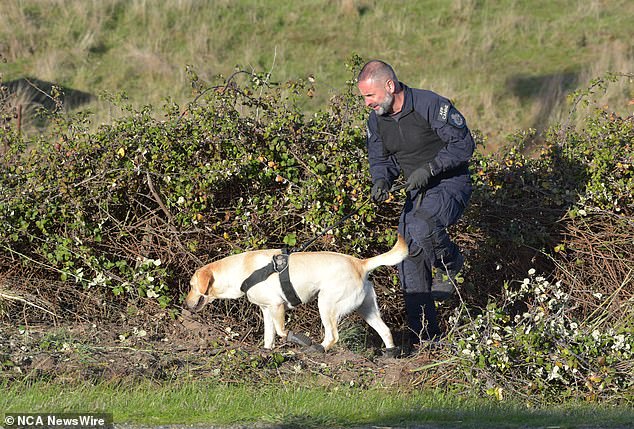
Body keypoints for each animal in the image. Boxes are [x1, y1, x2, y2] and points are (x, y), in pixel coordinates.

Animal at [185, 234, 408, 354]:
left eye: (191, 286)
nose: (186, 303)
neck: (242, 271)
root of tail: (361, 264)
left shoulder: (277, 306)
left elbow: (282, 331)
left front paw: (297, 339)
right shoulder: (266, 310)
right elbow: (269, 335)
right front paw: (267, 351)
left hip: (325, 304)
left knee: (332, 336)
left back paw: (318, 349)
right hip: (367, 309)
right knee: (385, 330)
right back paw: (390, 353)